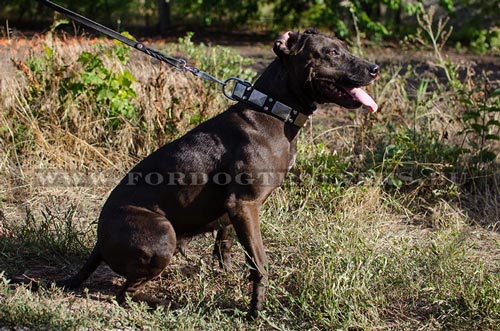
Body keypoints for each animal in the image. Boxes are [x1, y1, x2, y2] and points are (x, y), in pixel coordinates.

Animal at [58, 30, 376, 320]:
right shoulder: (245, 204)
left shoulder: (234, 209)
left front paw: (229, 276)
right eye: (331, 53)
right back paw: (158, 303)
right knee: (124, 293)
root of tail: (99, 243)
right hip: (162, 235)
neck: (272, 110)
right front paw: (255, 311)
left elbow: (226, 245)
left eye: (344, 47)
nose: (375, 68)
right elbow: (259, 262)